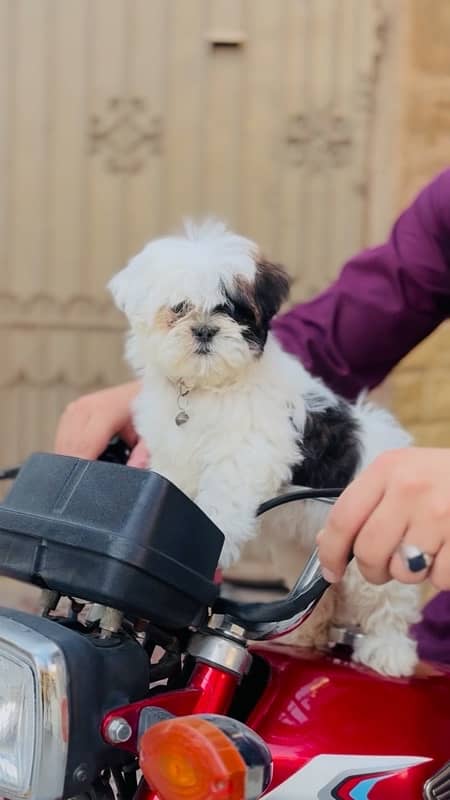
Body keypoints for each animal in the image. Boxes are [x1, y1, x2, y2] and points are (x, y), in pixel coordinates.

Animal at [110, 219, 420, 676]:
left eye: (234, 310)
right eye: (180, 308)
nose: (205, 330)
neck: (207, 387)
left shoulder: (244, 455)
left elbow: (219, 506)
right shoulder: (177, 459)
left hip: (375, 541)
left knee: (384, 597)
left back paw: (389, 650)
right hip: (310, 543)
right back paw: (309, 633)